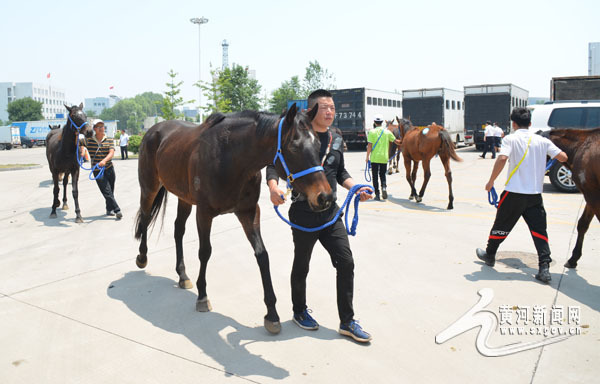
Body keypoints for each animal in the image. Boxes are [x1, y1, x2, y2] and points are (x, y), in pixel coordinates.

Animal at [134, 104, 332, 332]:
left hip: (184, 198)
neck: (229, 158)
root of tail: (153, 130)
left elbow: (262, 255)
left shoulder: (249, 212)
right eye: (293, 146)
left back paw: (182, 276)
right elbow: (205, 252)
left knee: (178, 230)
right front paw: (202, 296)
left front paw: (271, 313)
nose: (325, 197)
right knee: (145, 218)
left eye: (318, 143)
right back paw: (142, 258)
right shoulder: (204, 213)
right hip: (149, 188)